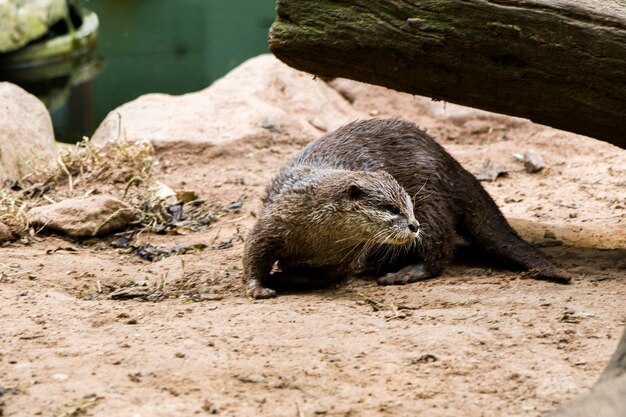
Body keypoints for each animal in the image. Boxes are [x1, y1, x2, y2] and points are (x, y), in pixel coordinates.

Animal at [244, 118, 572, 298]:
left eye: (408, 205)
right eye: (391, 208)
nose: (413, 225)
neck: (315, 238)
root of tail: (450, 162)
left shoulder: (347, 258)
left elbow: (326, 277)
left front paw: (282, 278)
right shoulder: (274, 221)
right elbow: (254, 253)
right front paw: (259, 286)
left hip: (433, 203)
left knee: (439, 252)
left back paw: (401, 273)